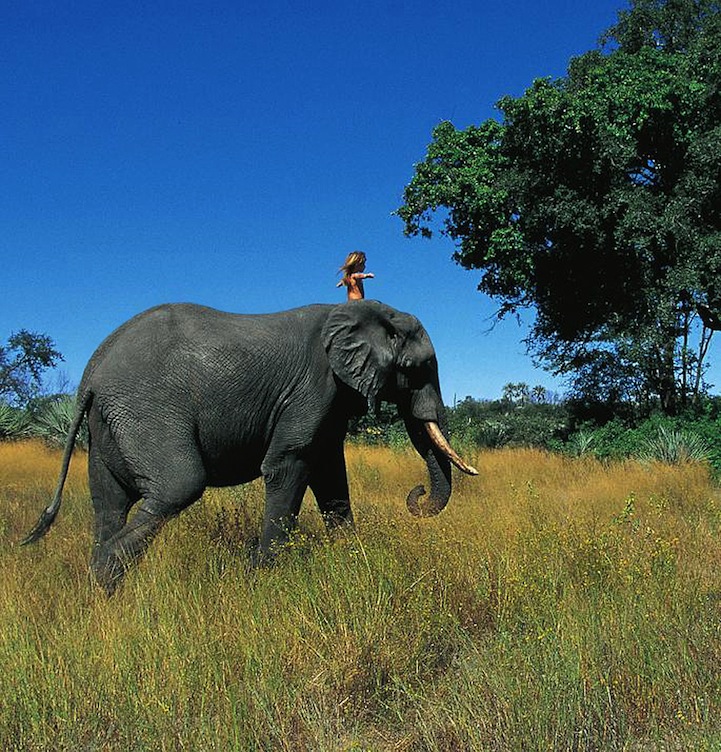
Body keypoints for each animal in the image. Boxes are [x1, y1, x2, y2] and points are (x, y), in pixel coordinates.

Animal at [22, 300, 476, 592]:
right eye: (418, 368)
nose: (416, 494)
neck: (367, 311)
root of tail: (92, 371)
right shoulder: (312, 388)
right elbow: (290, 464)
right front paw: (261, 576)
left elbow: (330, 473)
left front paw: (352, 559)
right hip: (144, 409)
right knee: (177, 486)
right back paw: (105, 576)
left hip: (107, 425)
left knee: (109, 502)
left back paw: (99, 589)